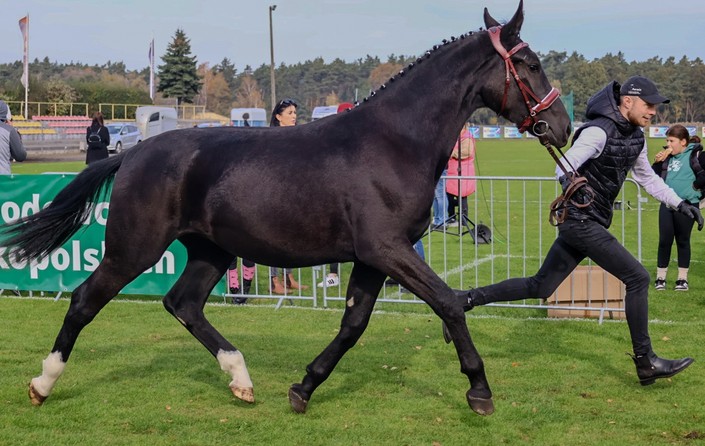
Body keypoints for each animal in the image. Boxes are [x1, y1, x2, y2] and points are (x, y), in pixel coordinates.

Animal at [1, 1, 568, 416]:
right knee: (84, 300)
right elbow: (448, 302)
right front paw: (479, 389)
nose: (561, 126)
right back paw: (42, 383)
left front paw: (304, 387)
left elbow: (352, 325)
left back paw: (241, 378)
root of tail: (135, 151)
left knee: (183, 304)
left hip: (211, 251)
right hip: (133, 249)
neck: (393, 141)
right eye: (531, 64)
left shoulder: (371, 257)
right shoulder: (388, 249)